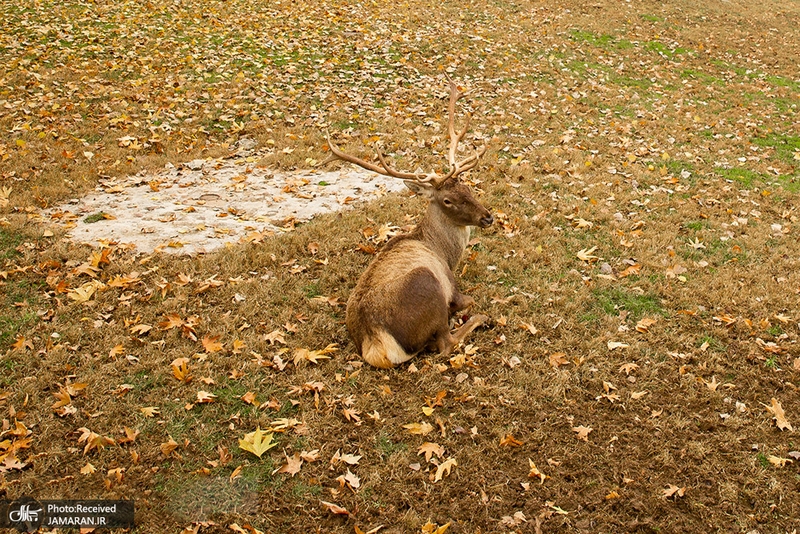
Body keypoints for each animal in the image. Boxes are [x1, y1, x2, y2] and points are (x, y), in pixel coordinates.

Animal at [326, 74, 494, 368]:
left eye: (467, 188)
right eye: (447, 200)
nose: (487, 217)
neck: (444, 252)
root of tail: (376, 346)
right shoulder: (451, 287)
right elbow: (469, 300)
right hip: (427, 285)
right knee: (446, 343)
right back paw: (480, 320)